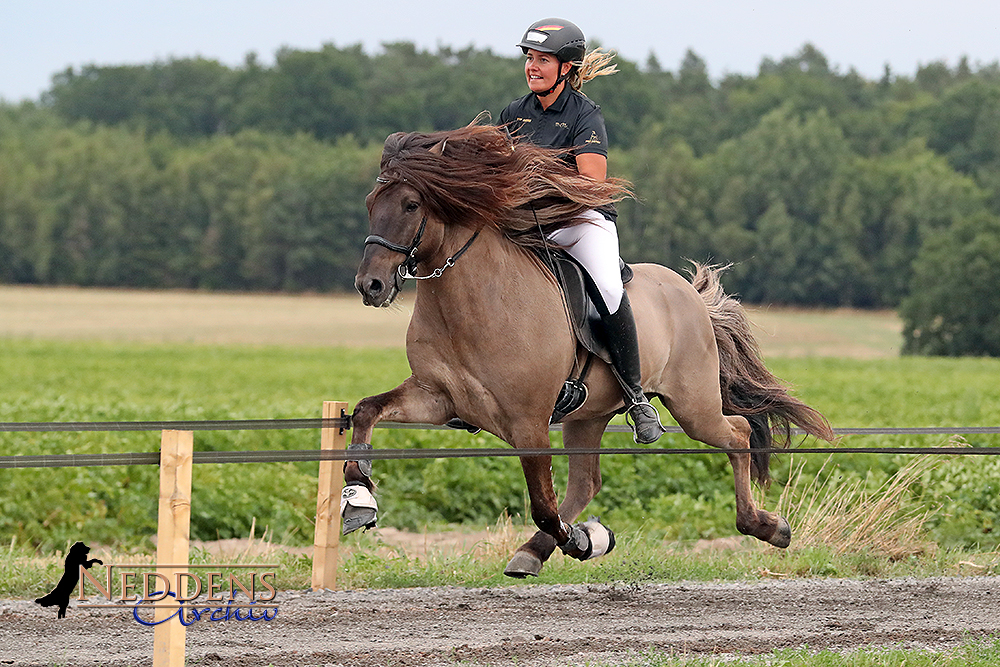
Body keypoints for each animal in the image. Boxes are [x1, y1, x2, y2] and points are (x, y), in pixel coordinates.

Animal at [348, 125, 832, 580]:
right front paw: (358, 495)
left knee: (737, 434)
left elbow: (543, 504)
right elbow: (365, 410)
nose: (370, 285)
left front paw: (584, 540)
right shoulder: (436, 397)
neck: (473, 302)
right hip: (589, 415)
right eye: (371, 203)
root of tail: (689, 292)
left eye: (411, 205)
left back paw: (767, 526)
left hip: (692, 404)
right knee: (587, 483)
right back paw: (536, 551)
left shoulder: (528, 422)